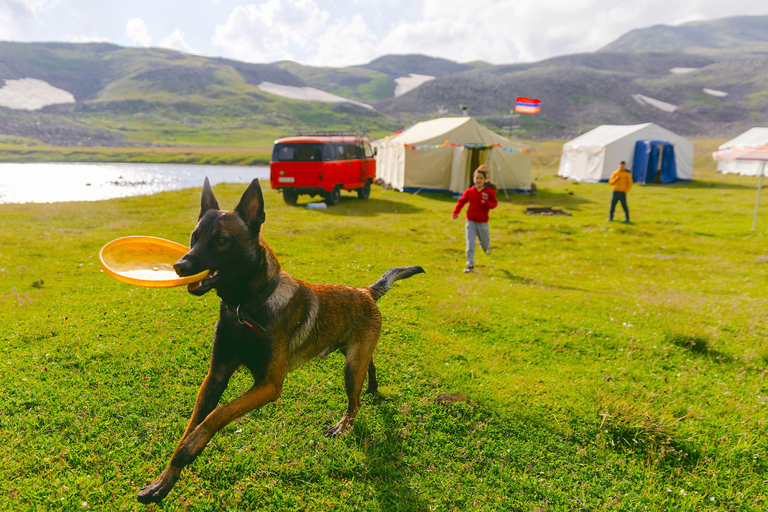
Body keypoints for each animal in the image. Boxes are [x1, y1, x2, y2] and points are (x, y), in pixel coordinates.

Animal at [138, 177, 426, 504]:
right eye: (194, 237)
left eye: (221, 240)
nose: (180, 266)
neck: (245, 308)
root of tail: (366, 292)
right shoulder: (216, 375)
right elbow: (194, 422)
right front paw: (165, 480)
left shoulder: (269, 384)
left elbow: (215, 416)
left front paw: (188, 451)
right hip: (352, 354)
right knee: (370, 366)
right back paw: (373, 388)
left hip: (350, 369)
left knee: (355, 403)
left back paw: (343, 425)